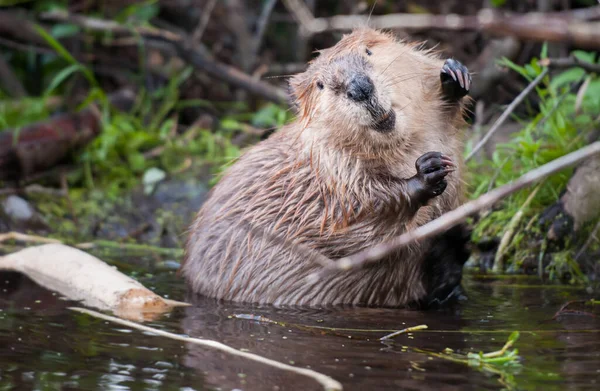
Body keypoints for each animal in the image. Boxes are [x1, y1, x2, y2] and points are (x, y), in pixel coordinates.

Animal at [180, 28, 472, 310]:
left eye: (368, 51)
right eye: (320, 84)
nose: (360, 88)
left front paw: (454, 76)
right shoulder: (331, 171)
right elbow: (358, 219)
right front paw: (428, 171)